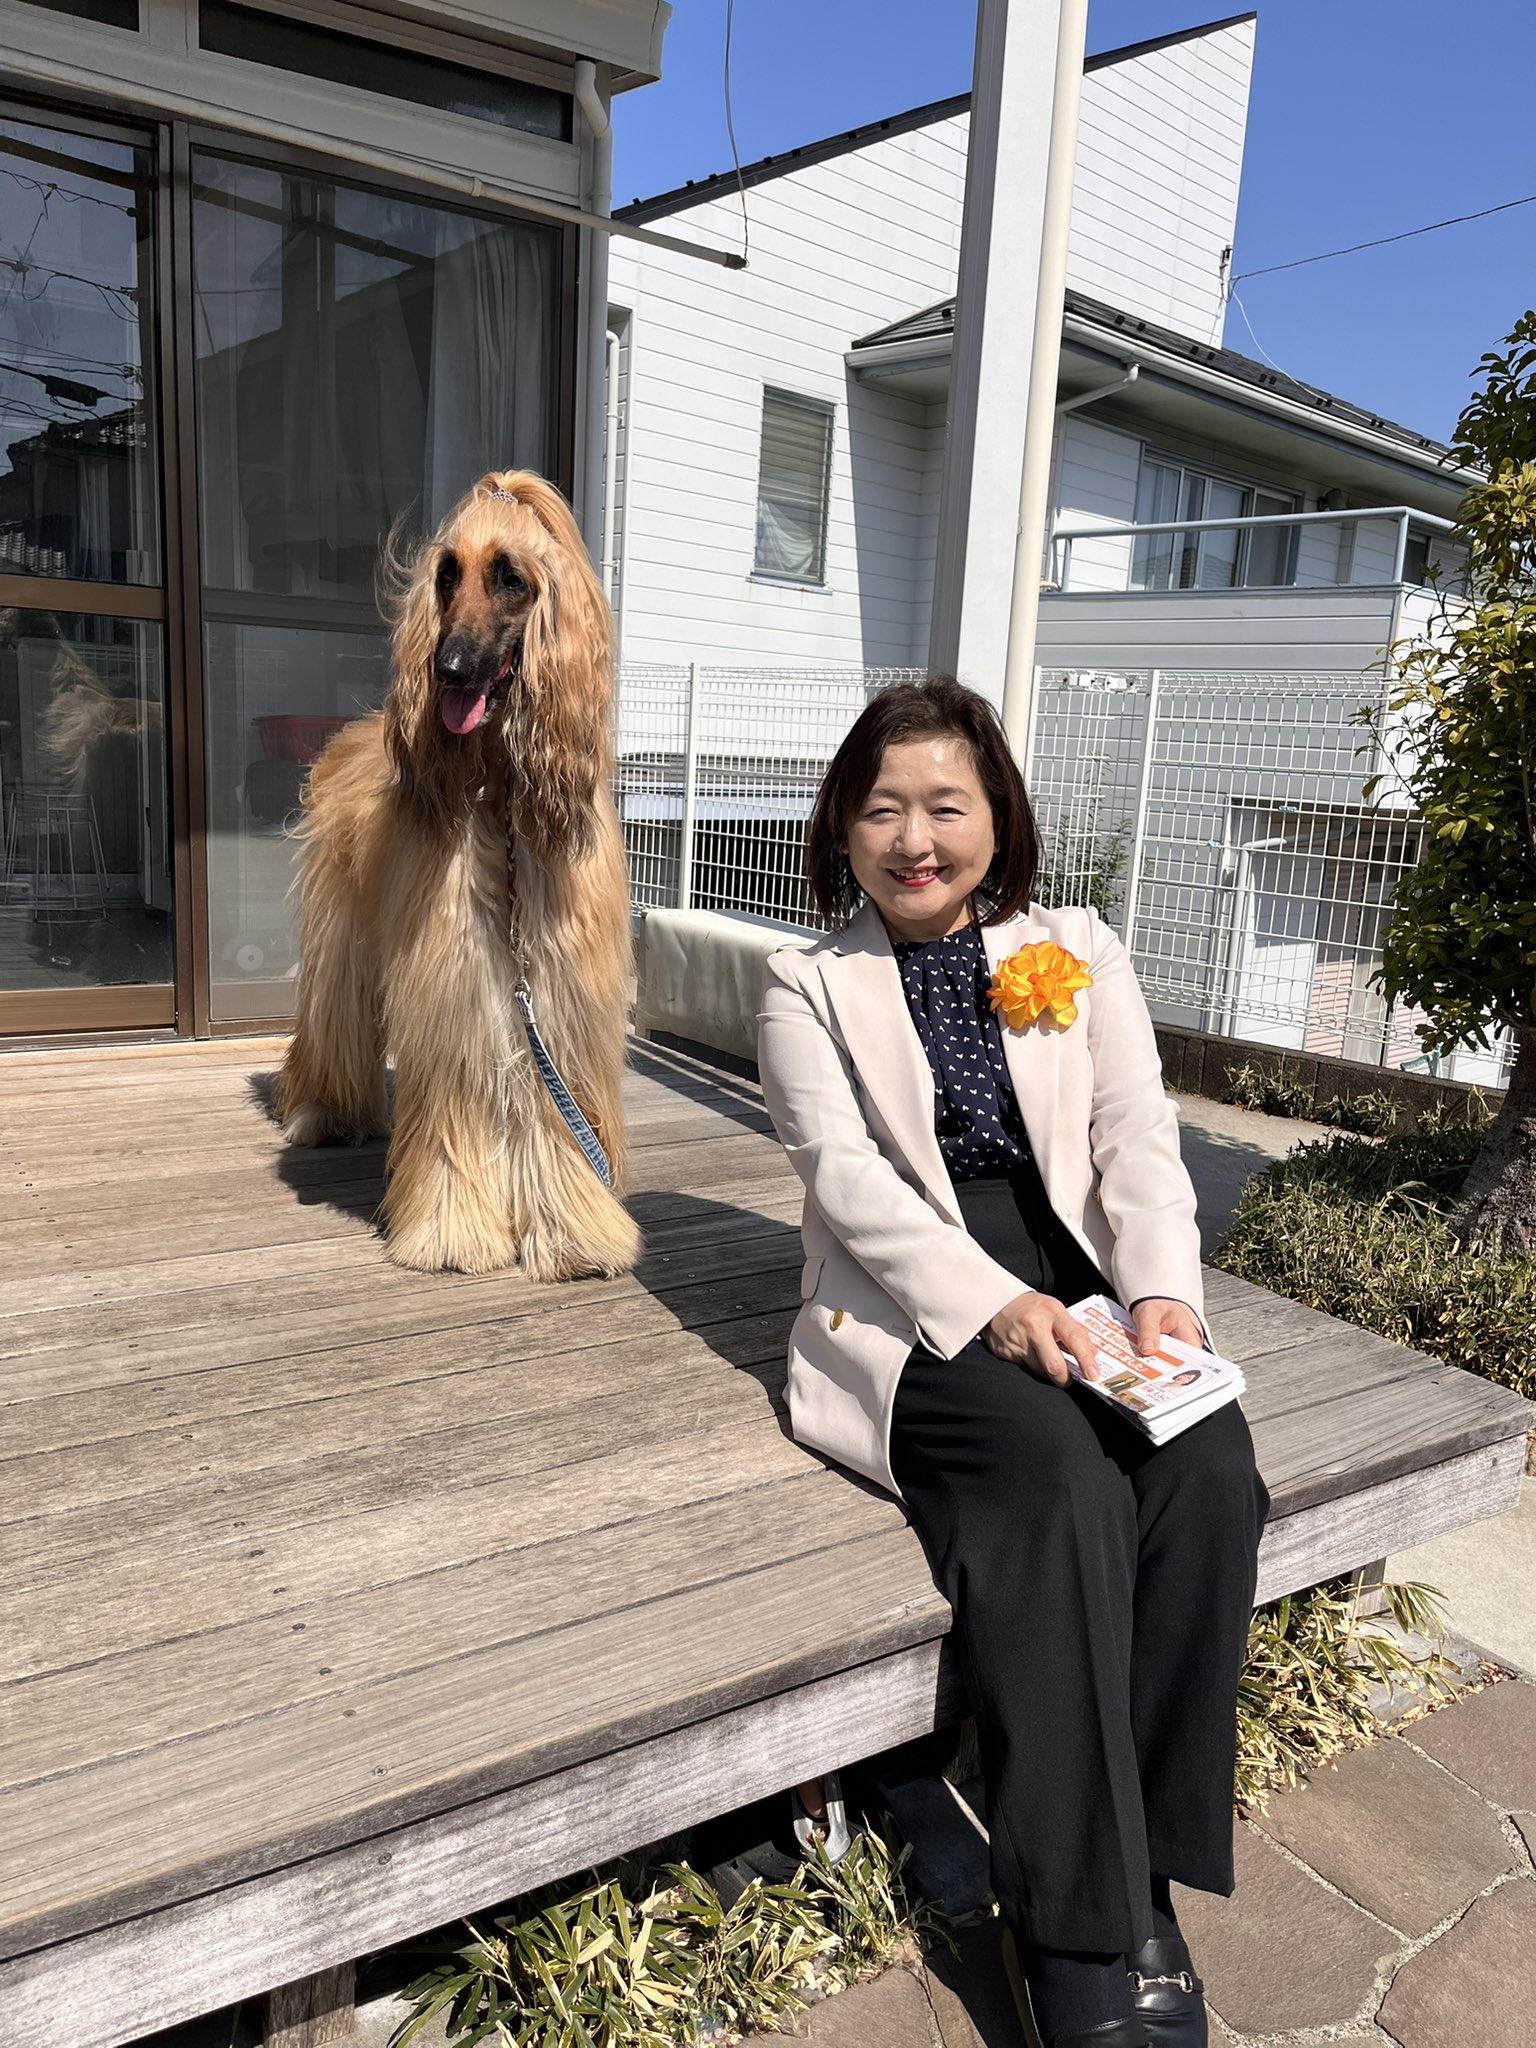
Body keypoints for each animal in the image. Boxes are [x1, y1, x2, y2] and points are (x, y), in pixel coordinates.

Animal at [274, 470, 640, 1283]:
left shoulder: (557, 990)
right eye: (446, 575)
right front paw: (451, 1231)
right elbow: (453, 1100)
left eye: (510, 577)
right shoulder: (454, 971)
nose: (447, 670)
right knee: (333, 1013)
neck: (503, 789)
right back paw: (321, 1112)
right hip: (342, 933)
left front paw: (571, 1232)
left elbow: (555, 1109)